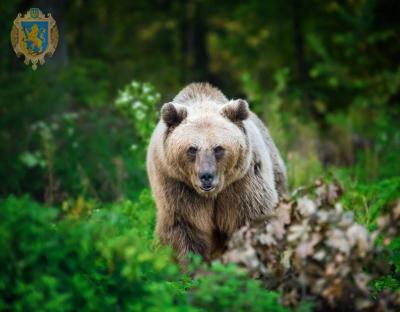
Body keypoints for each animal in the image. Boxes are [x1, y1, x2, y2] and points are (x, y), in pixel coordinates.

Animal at [147, 81, 288, 260]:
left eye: (218, 148)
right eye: (192, 149)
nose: (206, 176)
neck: (212, 195)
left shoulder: (242, 184)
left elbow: (253, 219)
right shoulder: (176, 187)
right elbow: (183, 232)